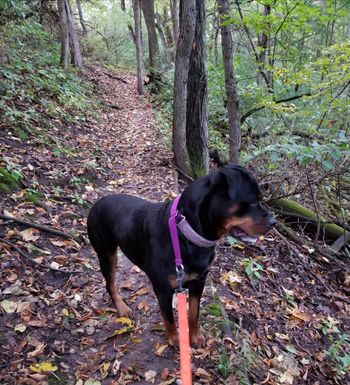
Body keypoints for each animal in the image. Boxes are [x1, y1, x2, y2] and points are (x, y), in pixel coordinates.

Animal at [87, 164, 276, 346]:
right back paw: (122, 307)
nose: (274, 222)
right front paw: (175, 341)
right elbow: (169, 319)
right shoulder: (163, 290)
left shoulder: (199, 281)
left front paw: (195, 337)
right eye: (253, 200)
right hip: (106, 253)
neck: (187, 234)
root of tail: (96, 203)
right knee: (110, 283)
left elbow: (193, 313)